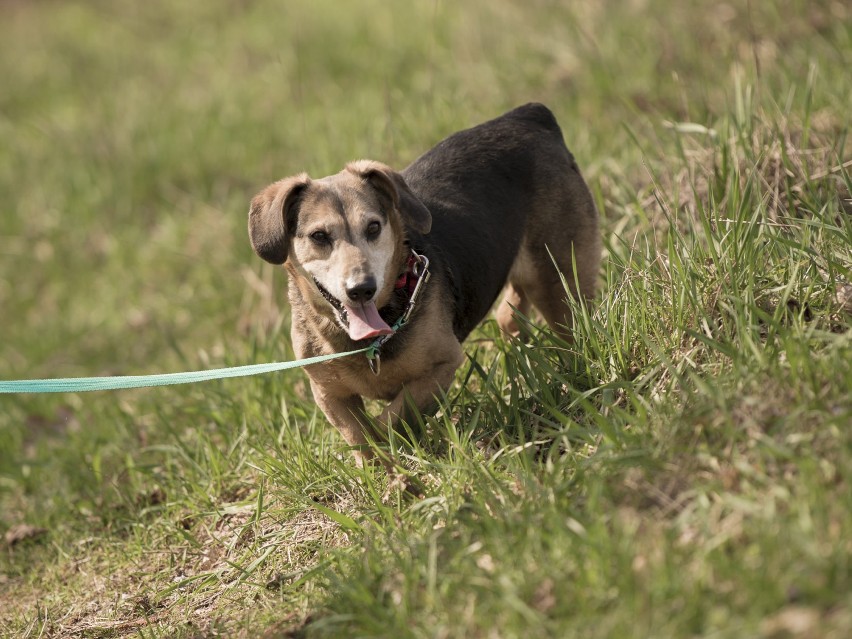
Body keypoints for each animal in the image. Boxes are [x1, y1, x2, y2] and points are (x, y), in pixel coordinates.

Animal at [250, 102, 604, 468]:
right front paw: (375, 467)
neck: (369, 342)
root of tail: (529, 115)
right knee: (511, 316)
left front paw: (392, 452)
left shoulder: (442, 365)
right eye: (319, 236)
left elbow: (392, 419)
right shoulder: (329, 393)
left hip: (561, 282)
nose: (362, 288)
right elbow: (359, 434)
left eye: (374, 227)